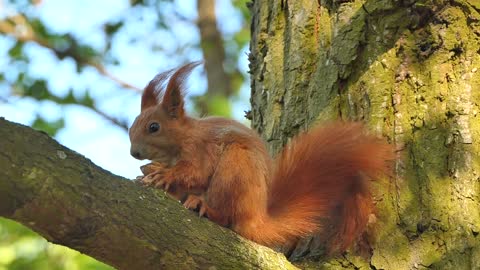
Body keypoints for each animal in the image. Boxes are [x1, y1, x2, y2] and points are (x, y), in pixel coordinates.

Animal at [128, 62, 394, 252]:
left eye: (154, 127)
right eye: (131, 127)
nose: (134, 153)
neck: (181, 140)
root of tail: (257, 219)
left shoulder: (200, 148)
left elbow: (196, 173)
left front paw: (163, 174)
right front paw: (150, 173)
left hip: (235, 170)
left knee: (227, 217)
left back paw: (205, 207)